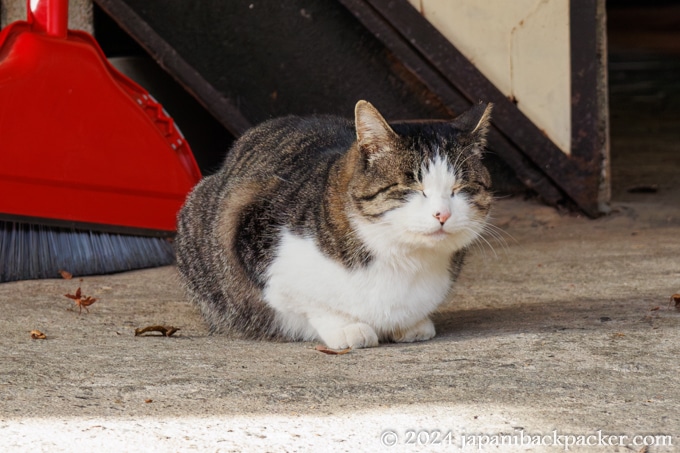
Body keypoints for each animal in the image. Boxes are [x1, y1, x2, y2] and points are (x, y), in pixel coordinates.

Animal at [175, 100, 494, 350]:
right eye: (411, 188)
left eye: (461, 188)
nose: (443, 214)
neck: (403, 257)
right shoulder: (251, 231)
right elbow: (310, 302)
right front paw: (347, 327)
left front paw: (411, 325)